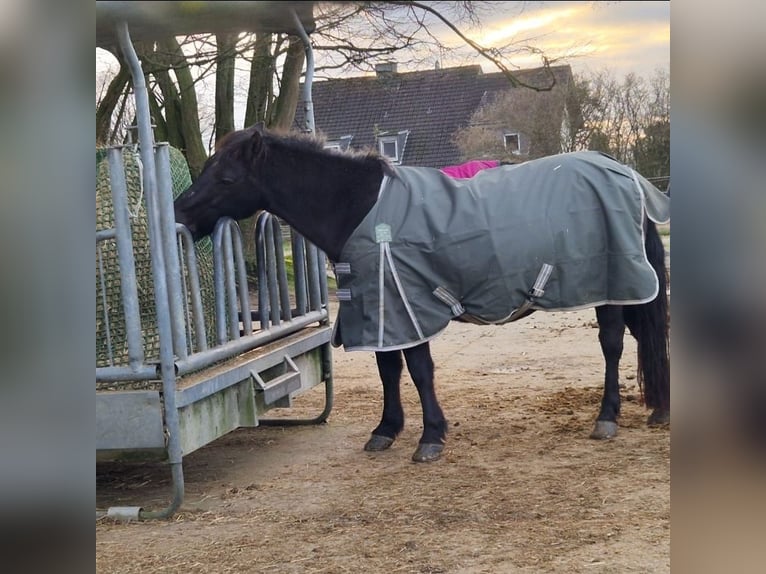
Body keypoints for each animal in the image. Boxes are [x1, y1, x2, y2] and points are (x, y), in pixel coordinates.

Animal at [174, 123, 670, 463]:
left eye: (226, 178)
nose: (180, 213)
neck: (359, 208)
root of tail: (623, 171)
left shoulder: (406, 302)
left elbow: (418, 371)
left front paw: (430, 437)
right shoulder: (378, 307)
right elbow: (388, 370)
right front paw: (386, 430)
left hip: (610, 286)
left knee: (612, 344)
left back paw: (607, 418)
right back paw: (655, 411)